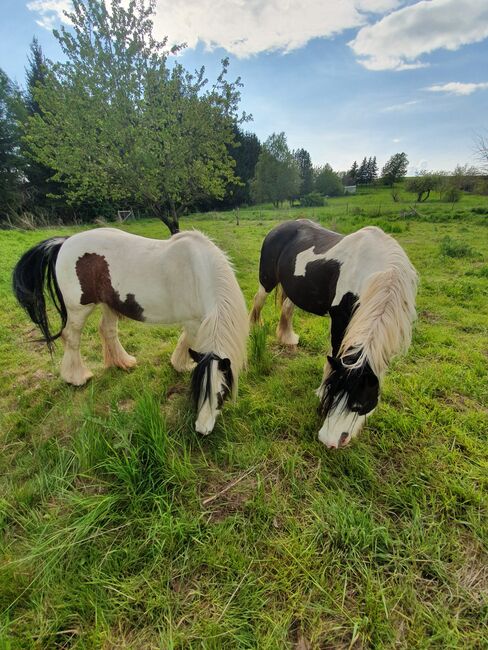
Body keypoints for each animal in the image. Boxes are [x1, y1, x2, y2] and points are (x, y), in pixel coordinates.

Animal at [12, 225, 248, 432]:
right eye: (199, 389)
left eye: (222, 392)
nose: (202, 429)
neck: (198, 273)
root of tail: (64, 242)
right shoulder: (192, 322)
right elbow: (188, 341)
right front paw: (181, 364)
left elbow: (185, 342)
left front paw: (180, 364)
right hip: (79, 309)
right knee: (72, 337)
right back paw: (76, 377)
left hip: (108, 304)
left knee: (107, 330)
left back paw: (122, 362)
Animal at [250, 220, 418, 448]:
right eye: (333, 394)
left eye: (358, 405)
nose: (327, 441)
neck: (381, 275)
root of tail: (280, 226)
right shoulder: (340, 318)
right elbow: (335, 356)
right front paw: (321, 390)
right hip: (266, 281)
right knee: (257, 302)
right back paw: (254, 330)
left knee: (287, 308)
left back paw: (288, 339)